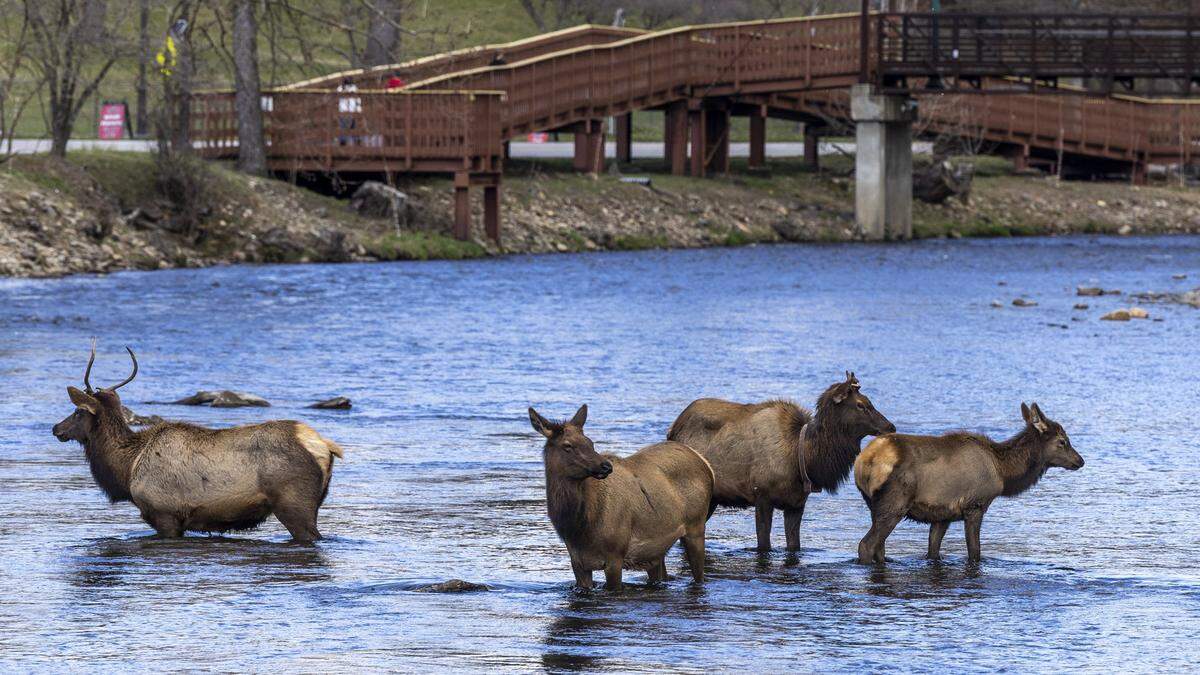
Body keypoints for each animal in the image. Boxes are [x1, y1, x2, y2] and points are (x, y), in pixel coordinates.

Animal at [51, 343, 343, 542]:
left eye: (78, 411)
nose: (56, 428)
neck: (127, 467)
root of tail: (324, 445)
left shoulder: (165, 515)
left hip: (295, 505)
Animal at [529, 404, 714, 590]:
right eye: (567, 445)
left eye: (590, 442)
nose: (606, 466)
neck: (579, 528)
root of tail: (705, 463)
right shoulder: (577, 562)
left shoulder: (615, 555)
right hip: (656, 550)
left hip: (696, 526)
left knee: (700, 576)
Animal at [667, 372, 895, 552]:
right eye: (860, 405)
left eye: (868, 401)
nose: (890, 426)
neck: (804, 458)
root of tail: (672, 430)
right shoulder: (762, 496)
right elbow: (764, 546)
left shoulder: (796, 504)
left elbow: (794, 546)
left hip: (712, 500)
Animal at [853, 402, 1084, 565]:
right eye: (1063, 441)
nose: (1080, 460)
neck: (1003, 472)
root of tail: (863, 462)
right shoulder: (975, 505)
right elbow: (975, 552)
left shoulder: (942, 515)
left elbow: (933, 552)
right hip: (895, 503)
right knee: (867, 545)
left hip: (874, 505)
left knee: (880, 548)